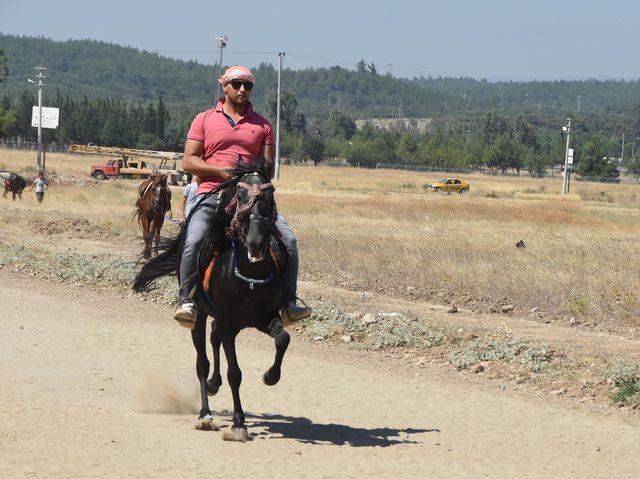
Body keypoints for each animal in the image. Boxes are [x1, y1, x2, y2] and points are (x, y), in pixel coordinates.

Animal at [135, 160, 290, 442]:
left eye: (270, 196)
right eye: (239, 196)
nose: (255, 241)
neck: (250, 274)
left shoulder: (265, 317)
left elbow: (283, 339)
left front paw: (270, 376)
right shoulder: (228, 321)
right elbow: (234, 373)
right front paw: (239, 423)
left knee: (214, 340)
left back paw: (213, 385)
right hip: (201, 316)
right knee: (202, 362)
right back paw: (205, 414)